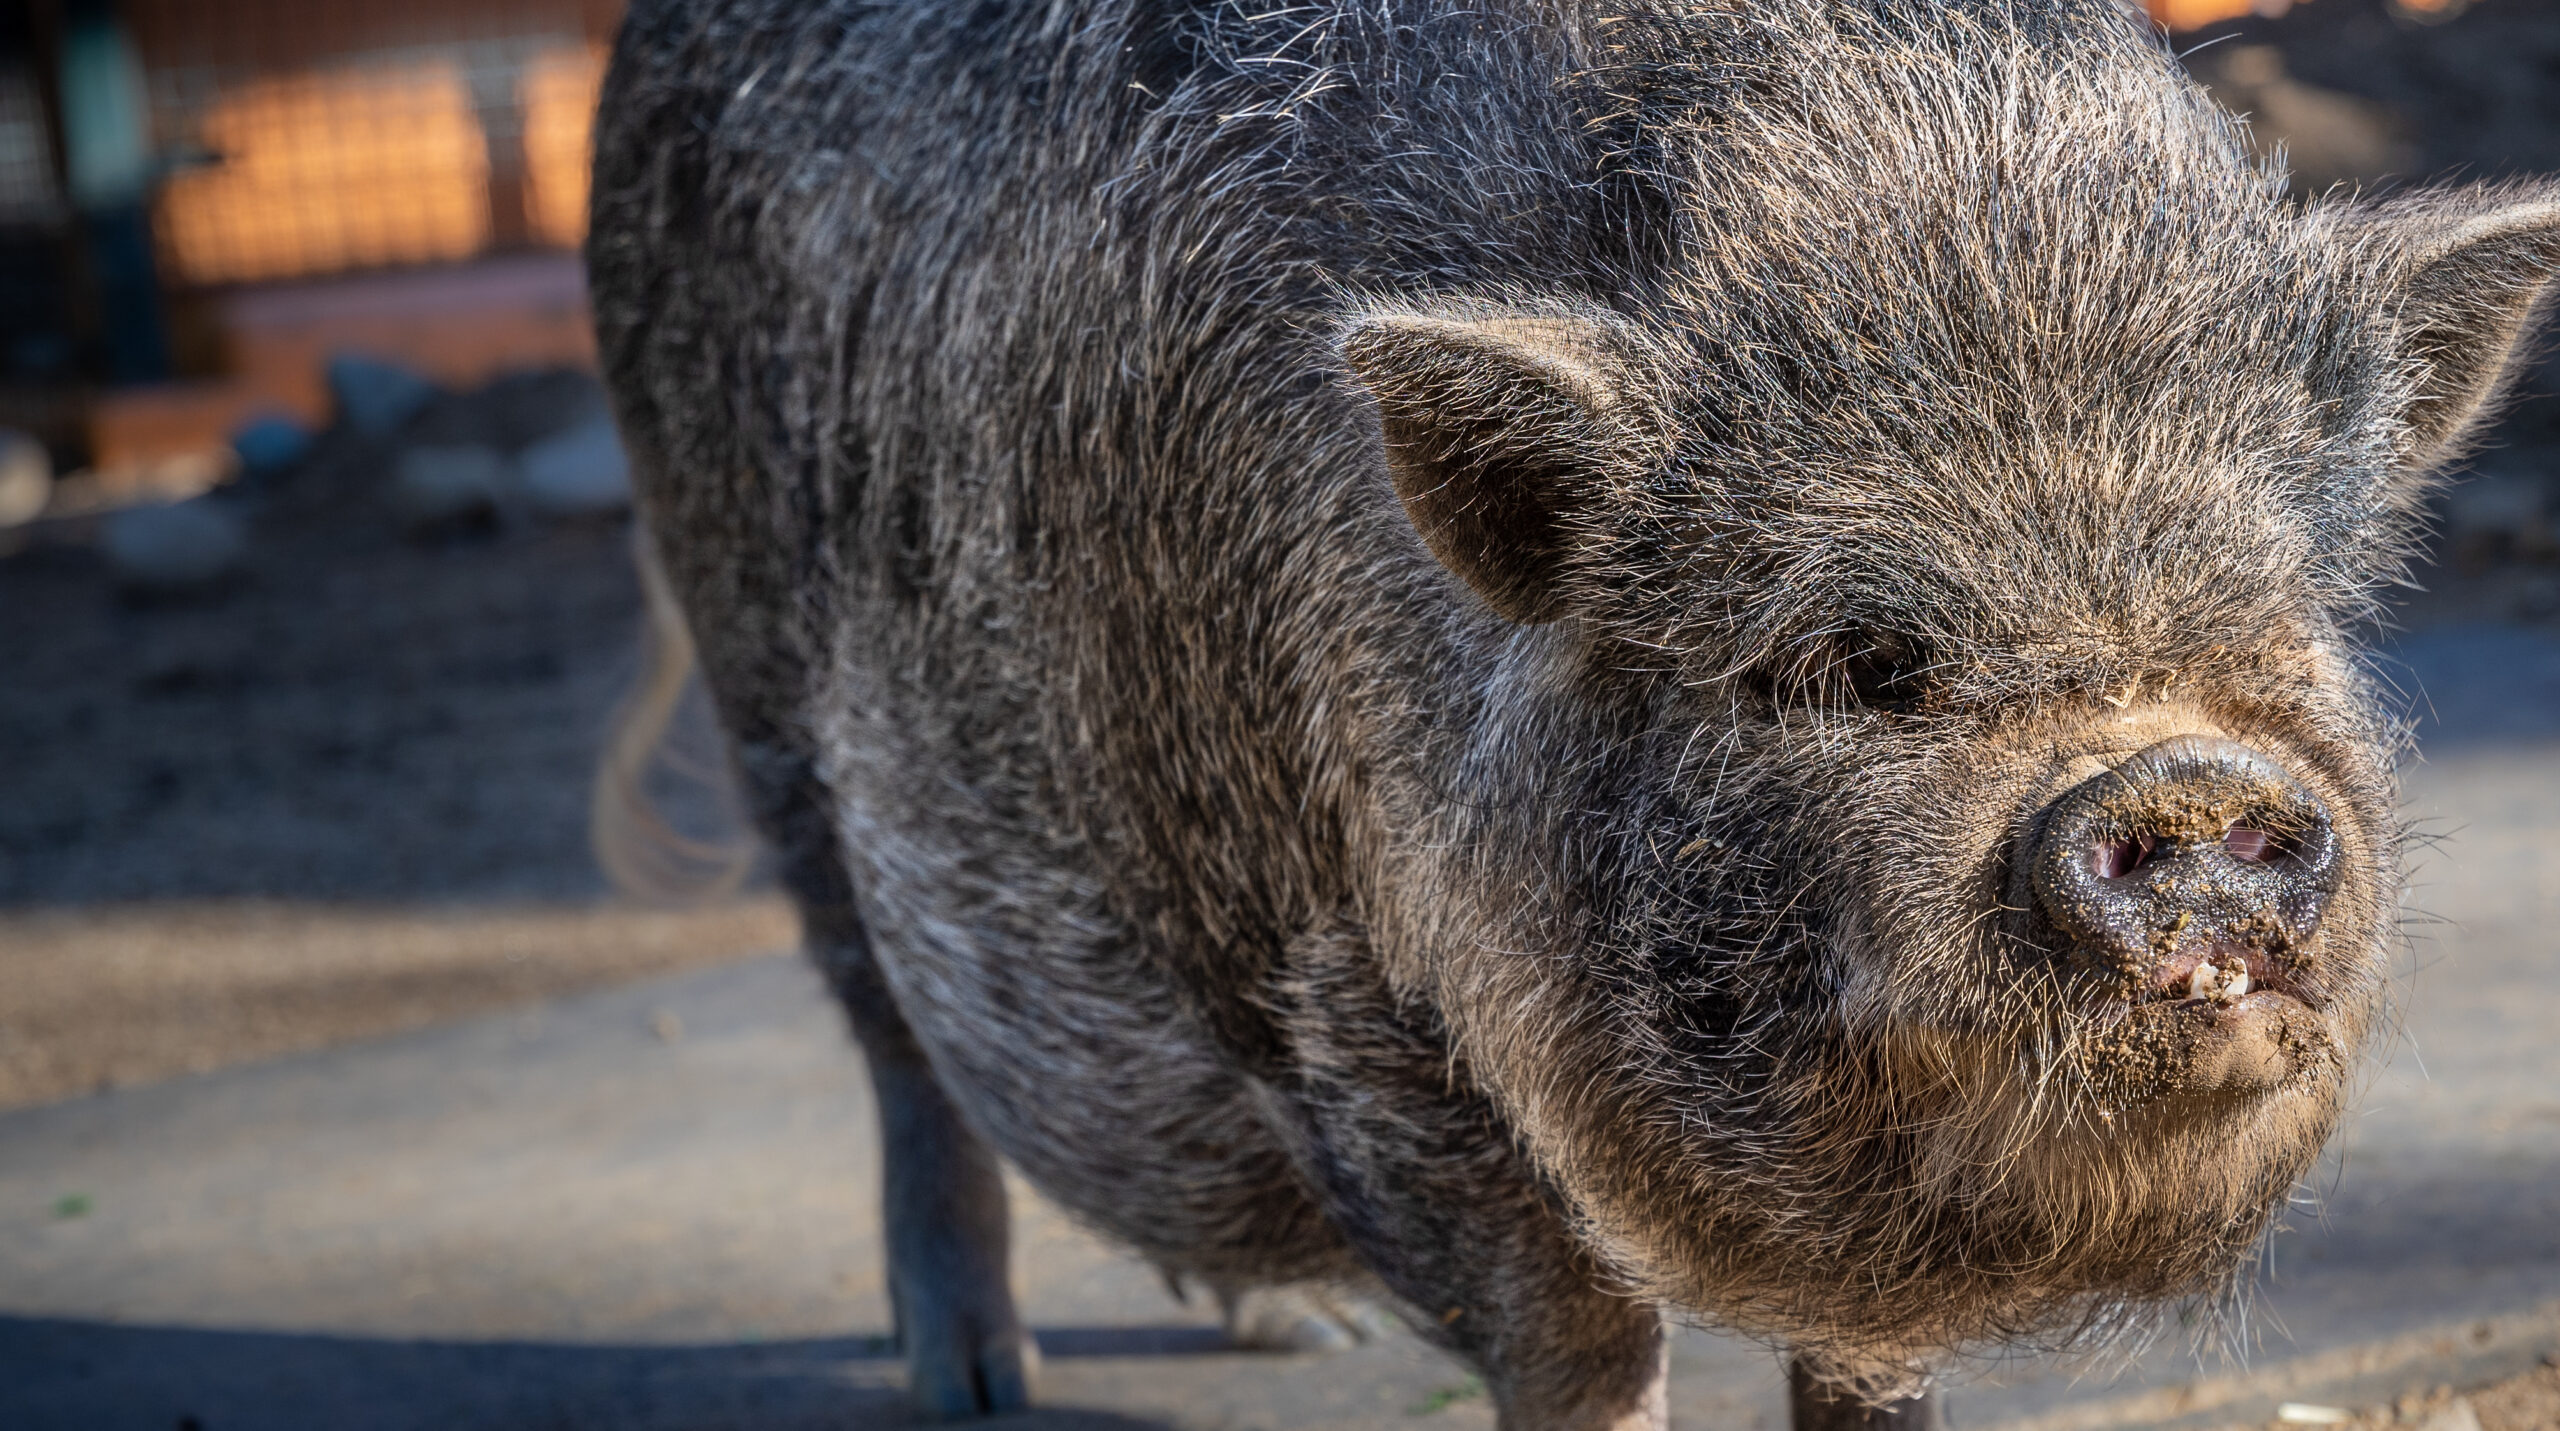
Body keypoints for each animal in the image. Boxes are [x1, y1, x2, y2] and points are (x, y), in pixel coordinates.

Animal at [581, 2, 2560, 1423]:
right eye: (1858, 660)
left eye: (2274, 618)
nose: (2185, 780)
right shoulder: (1349, 991)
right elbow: (1576, 1337)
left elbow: (1868, 1357)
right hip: (753, 664)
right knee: (892, 1040)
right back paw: (982, 1383)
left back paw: (1291, 1332)